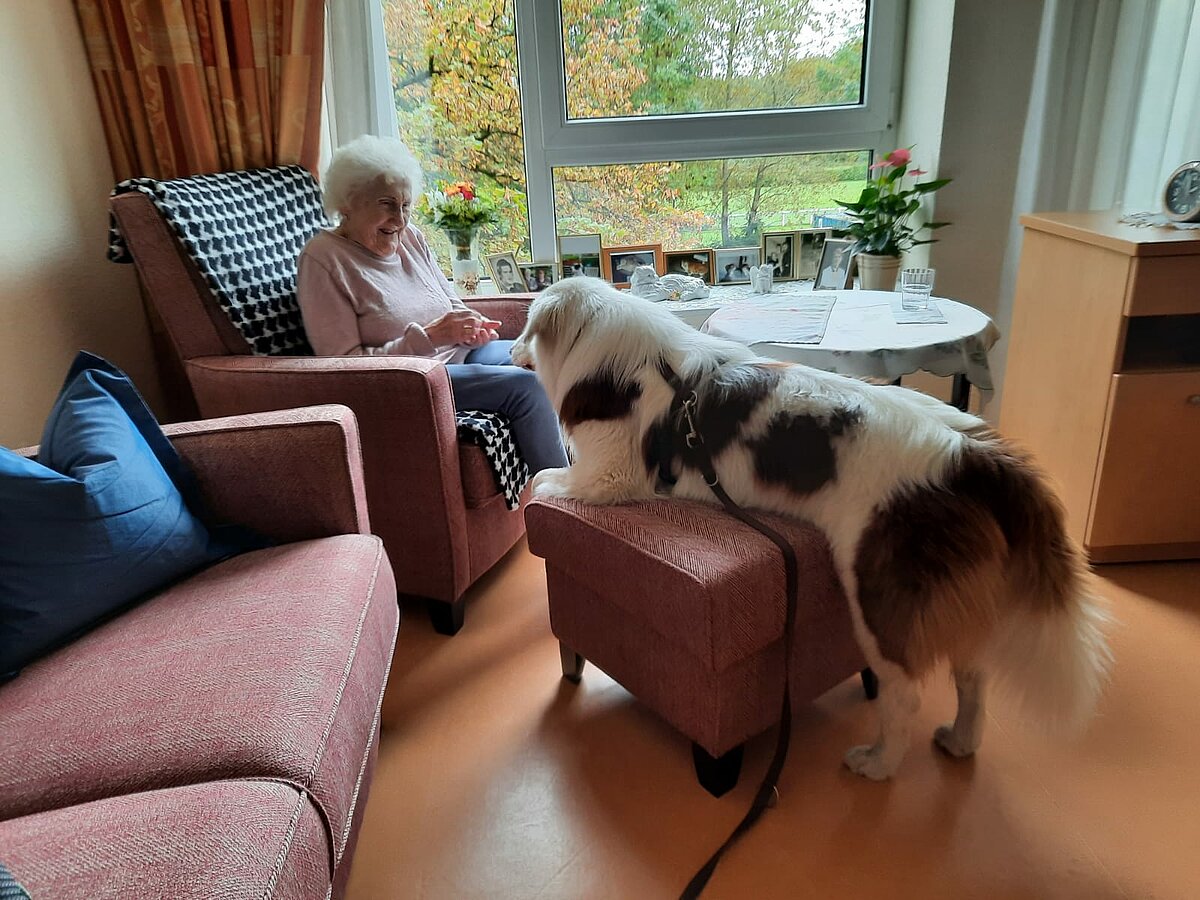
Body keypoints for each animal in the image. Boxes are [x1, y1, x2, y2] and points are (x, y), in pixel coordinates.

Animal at [511, 280, 1108, 782]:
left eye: (525, 329)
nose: (509, 347)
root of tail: (975, 455)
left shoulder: (608, 477)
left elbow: (541, 480)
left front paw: (532, 492)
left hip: (877, 595)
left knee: (904, 696)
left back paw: (878, 764)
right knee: (973, 675)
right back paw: (961, 741)